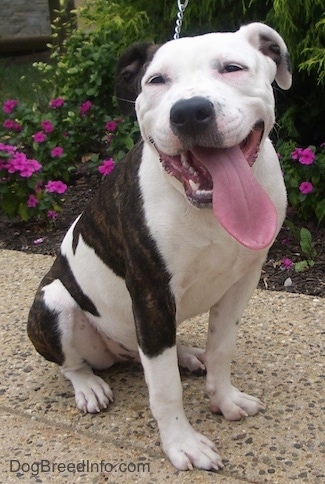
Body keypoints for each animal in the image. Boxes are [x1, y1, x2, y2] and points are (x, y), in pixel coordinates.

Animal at [28, 23, 292, 472]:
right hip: (54, 304)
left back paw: (185, 354)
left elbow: (221, 346)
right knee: (73, 363)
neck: (206, 208)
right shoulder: (151, 294)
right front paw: (182, 443)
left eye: (232, 68)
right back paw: (89, 386)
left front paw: (224, 398)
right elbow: (165, 388)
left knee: (156, 352)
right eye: (156, 81)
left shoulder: (242, 282)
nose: (189, 112)